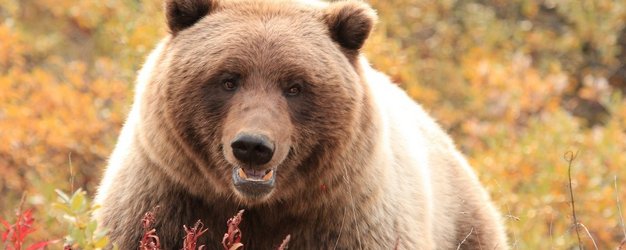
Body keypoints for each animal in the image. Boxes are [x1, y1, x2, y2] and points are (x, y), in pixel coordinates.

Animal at [96, 0, 508, 248]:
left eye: (295, 86)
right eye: (228, 79)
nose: (253, 146)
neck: (260, 207)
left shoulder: (350, 220)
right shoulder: (164, 200)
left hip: (465, 225)